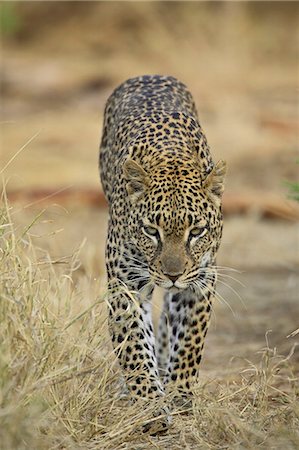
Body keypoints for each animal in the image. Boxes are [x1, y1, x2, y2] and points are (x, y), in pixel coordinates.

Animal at [99, 74, 226, 422]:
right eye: (151, 231)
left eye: (196, 231)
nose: (172, 275)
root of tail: (148, 75)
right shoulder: (124, 283)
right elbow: (133, 346)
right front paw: (150, 405)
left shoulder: (200, 281)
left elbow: (190, 342)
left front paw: (179, 395)